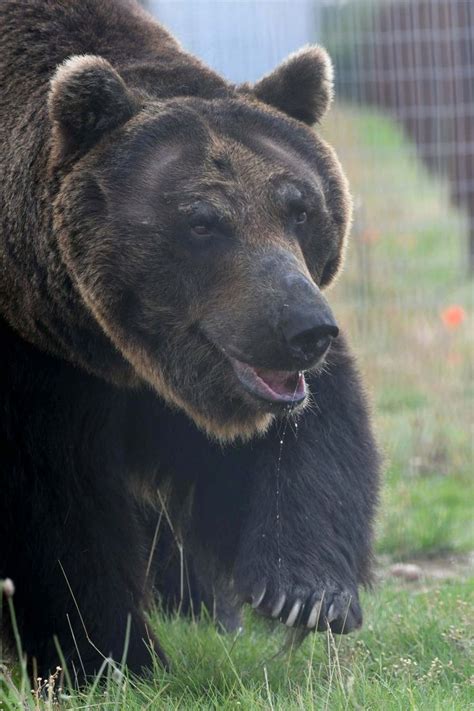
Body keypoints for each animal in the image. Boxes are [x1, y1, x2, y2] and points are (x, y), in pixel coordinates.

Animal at [0, 0, 378, 680]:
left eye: (301, 207)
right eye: (202, 222)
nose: (306, 330)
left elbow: (301, 435)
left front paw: (307, 592)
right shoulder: (40, 364)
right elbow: (54, 514)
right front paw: (113, 654)